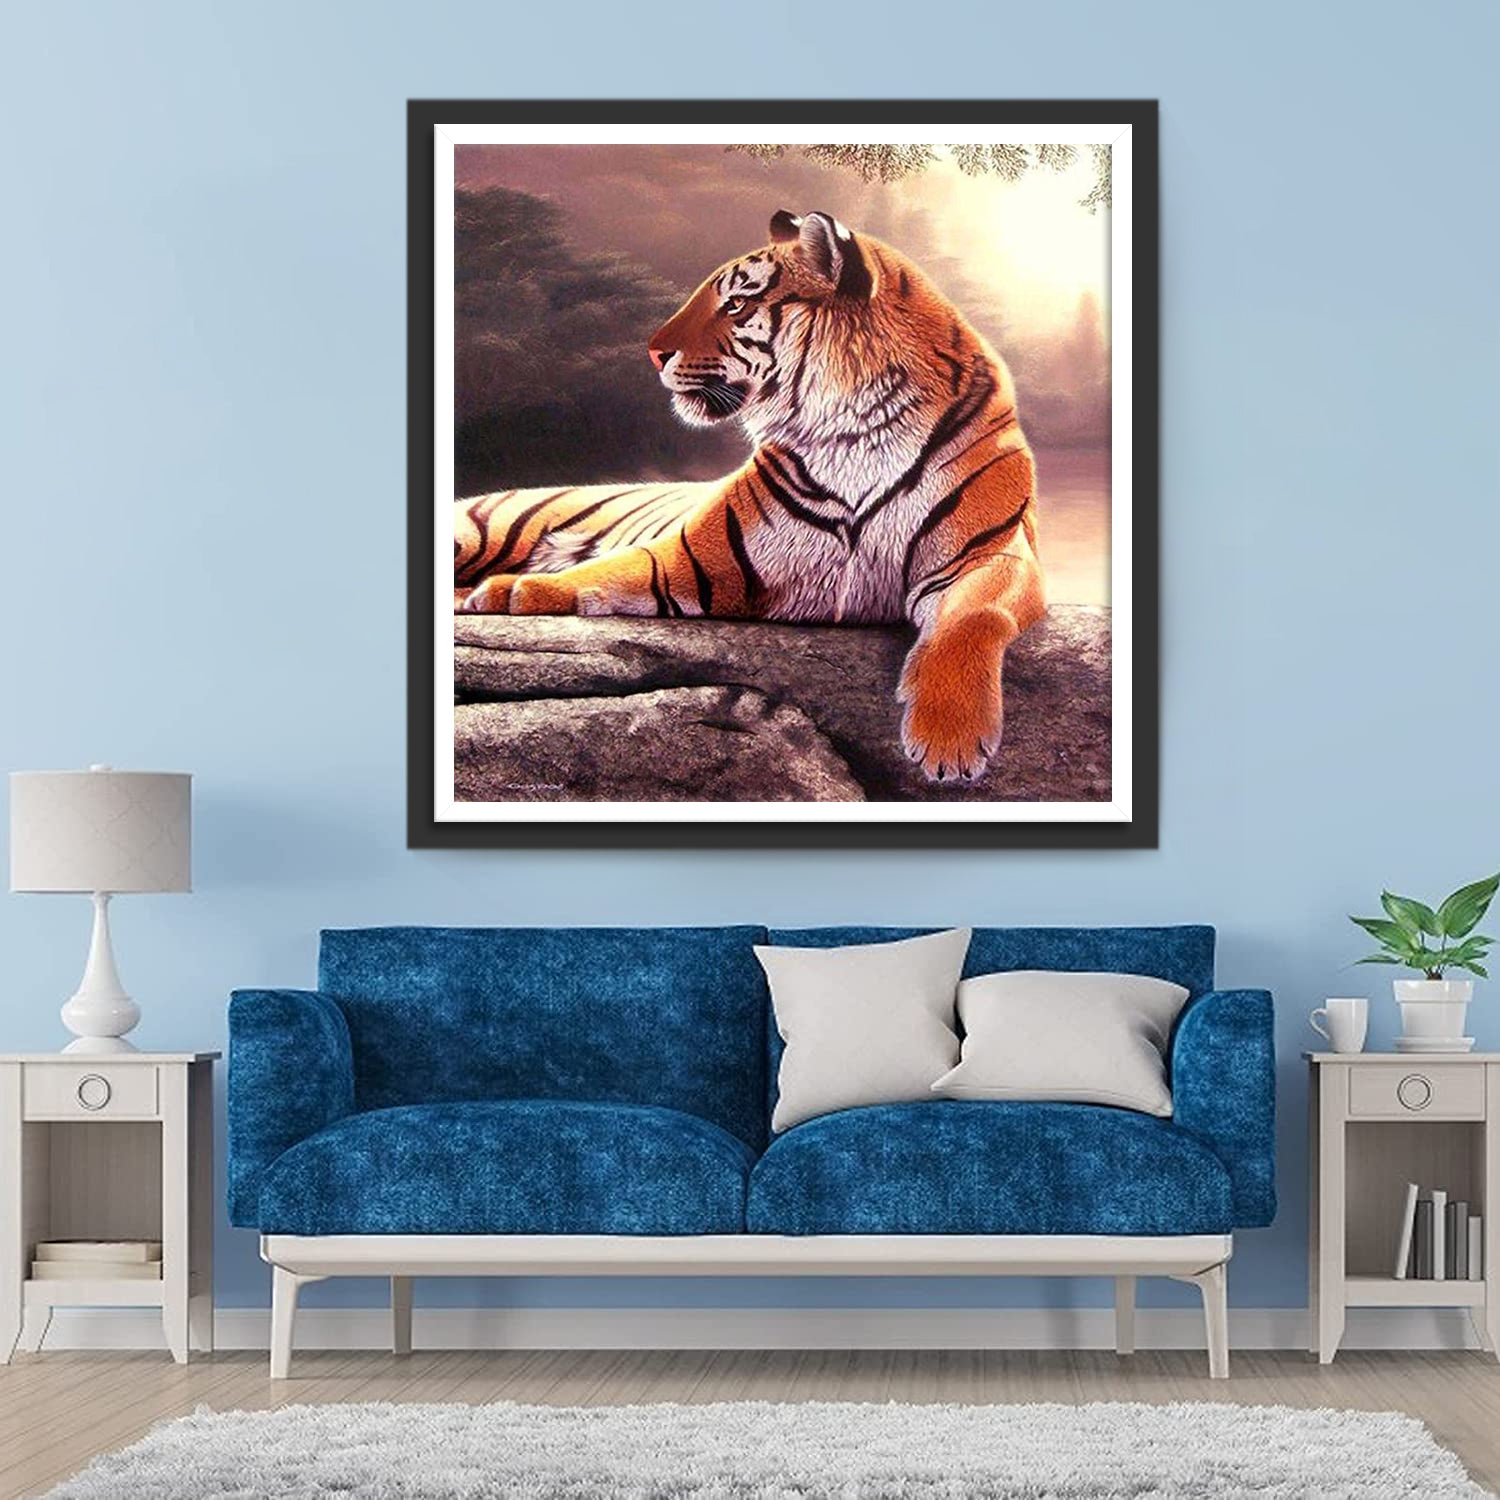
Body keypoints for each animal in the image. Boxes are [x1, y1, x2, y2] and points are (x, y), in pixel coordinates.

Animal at [455, 208, 1047, 784]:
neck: (856, 432)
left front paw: (950, 739)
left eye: (736, 303)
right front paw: (508, 592)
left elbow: (972, 617)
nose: (653, 353)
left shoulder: (993, 554)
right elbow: (602, 572)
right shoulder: (691, 558)